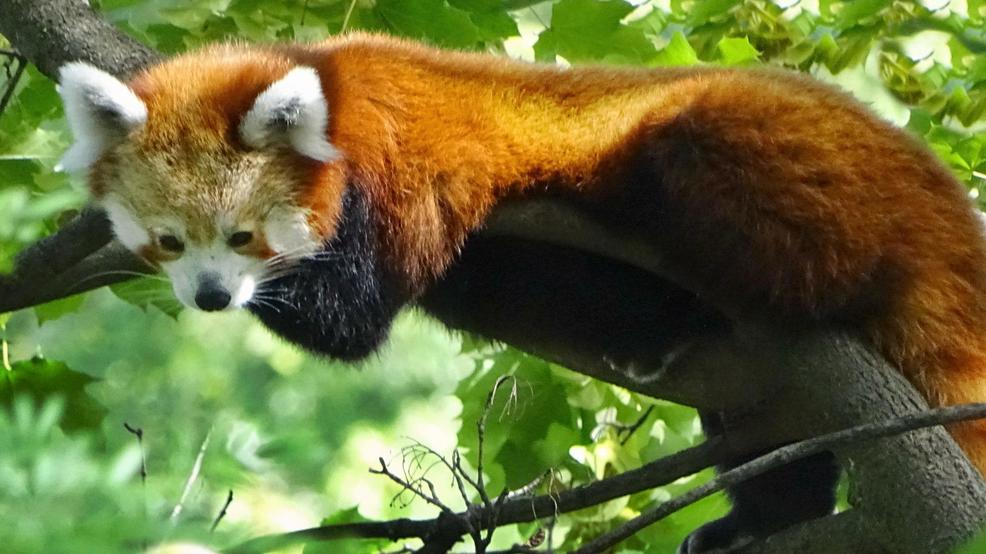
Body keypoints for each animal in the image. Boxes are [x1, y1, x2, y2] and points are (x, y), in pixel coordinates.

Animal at [55, 32, 986, 548]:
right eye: (169, 241)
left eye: (243, 237)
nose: (212, 298)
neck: (333, 90)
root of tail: (941, 204)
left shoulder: (397, 175)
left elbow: (351, 318)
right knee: (765, 440)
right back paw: (761, 518)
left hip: (778, 168)